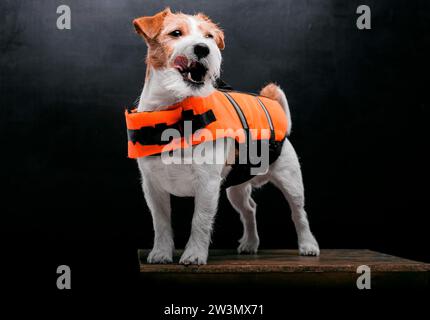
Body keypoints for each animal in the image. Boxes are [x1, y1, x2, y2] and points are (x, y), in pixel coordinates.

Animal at [131, 8, 320, 264]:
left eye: (209, 36)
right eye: (176, 33)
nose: (203, 48)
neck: (175, 110)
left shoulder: (207, 184)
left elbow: (200, 221)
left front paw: (194, 254)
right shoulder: (153, 187)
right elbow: (160, 223)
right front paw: (161, 252)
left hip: (290, 180)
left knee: (298, 213)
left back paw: (308, 245)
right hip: (236, 187)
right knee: (250, 208)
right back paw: (250, 243)